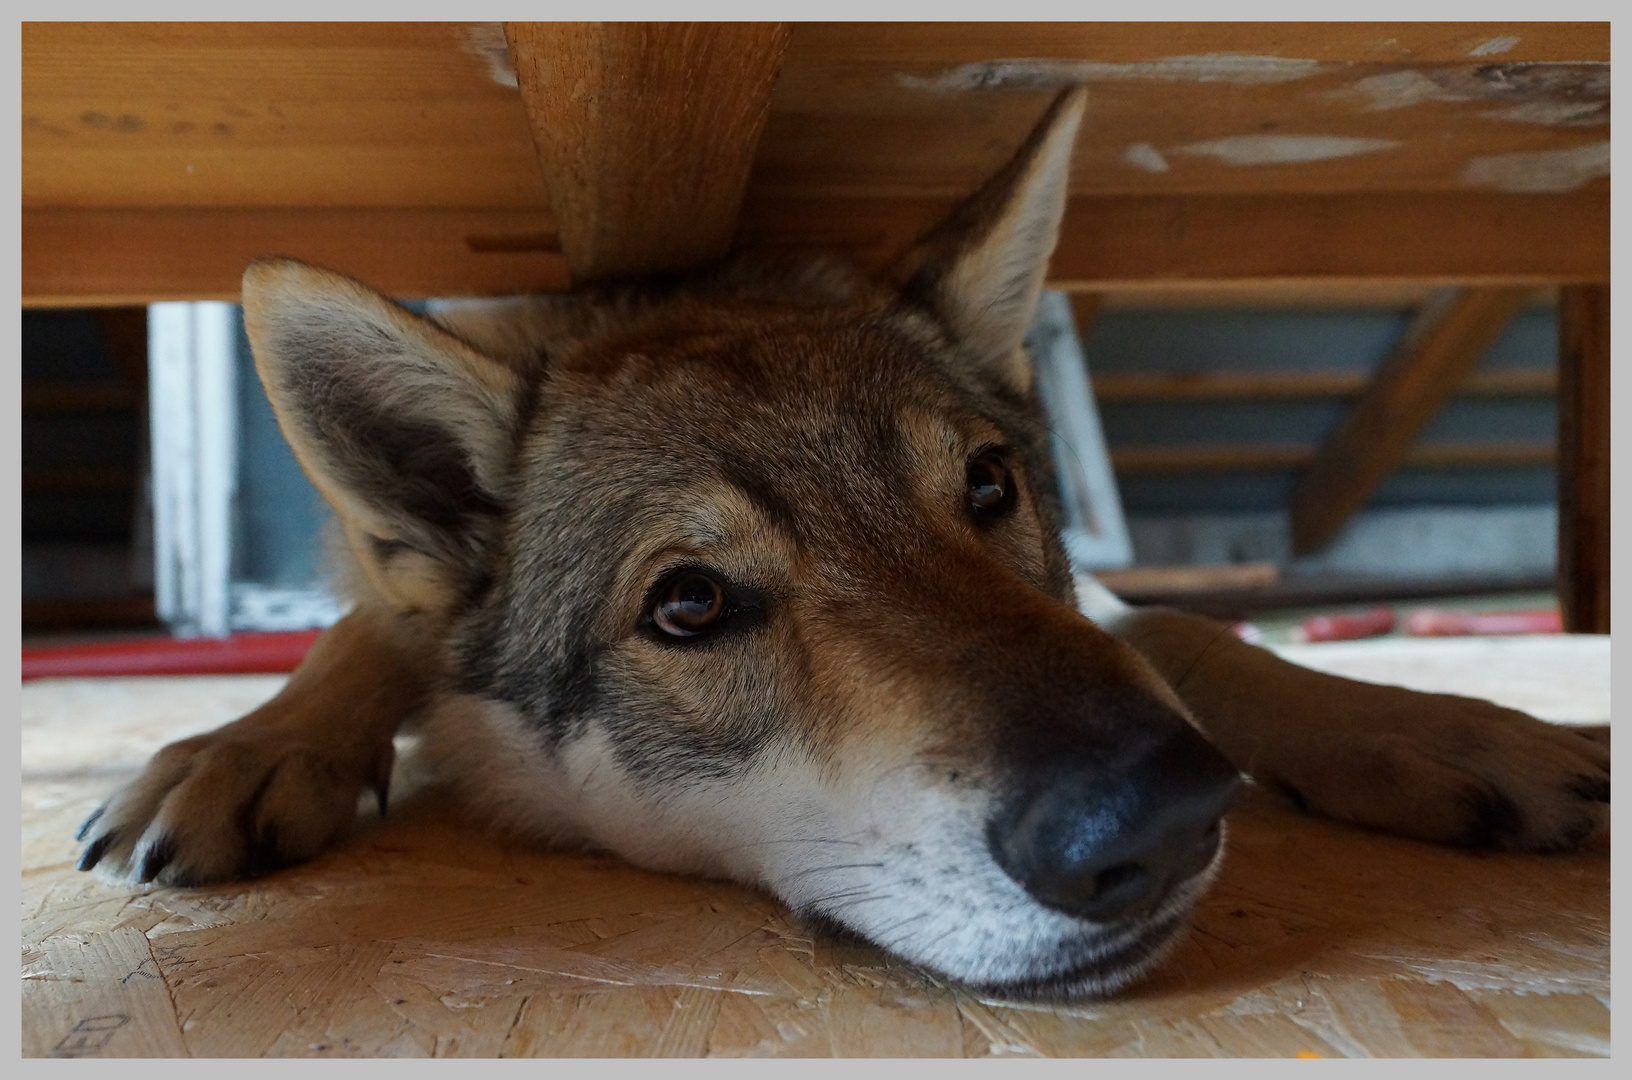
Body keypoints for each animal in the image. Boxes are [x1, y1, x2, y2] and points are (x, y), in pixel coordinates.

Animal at [73, 88, 1605, 1004]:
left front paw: (1454, 728)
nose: (1161, 823)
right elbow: (363, 637)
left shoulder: (1107, 606)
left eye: (987, 485)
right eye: (689, 605)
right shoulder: (388, 602)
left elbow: (1184, 632)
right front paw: (243, 749)